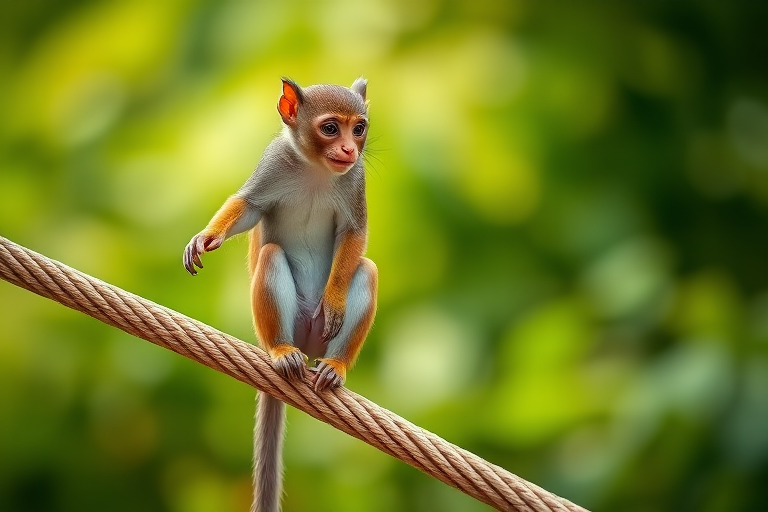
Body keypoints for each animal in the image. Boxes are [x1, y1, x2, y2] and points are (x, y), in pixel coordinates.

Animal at [182, 78, 377, 512]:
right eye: (330, 128)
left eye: (358, 128)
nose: (349, 150)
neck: (315, 169)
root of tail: (303, 343)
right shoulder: (272, 165)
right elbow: (249, 207)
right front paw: (207, 236)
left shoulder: (355, 181)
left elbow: (354, 234)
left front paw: (335, 300)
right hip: (287, 325)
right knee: (271, 255)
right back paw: (280, 351)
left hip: (319, 335)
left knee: (367, 270)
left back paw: (335, 366)